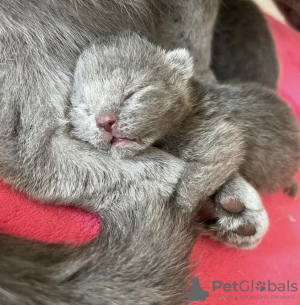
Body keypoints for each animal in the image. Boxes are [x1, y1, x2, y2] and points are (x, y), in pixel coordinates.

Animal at [71, 32, 300, 247]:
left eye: (132, 93)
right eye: (85, 108)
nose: (104, 122)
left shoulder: (222, 139)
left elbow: (190, 187)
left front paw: (175, 216)